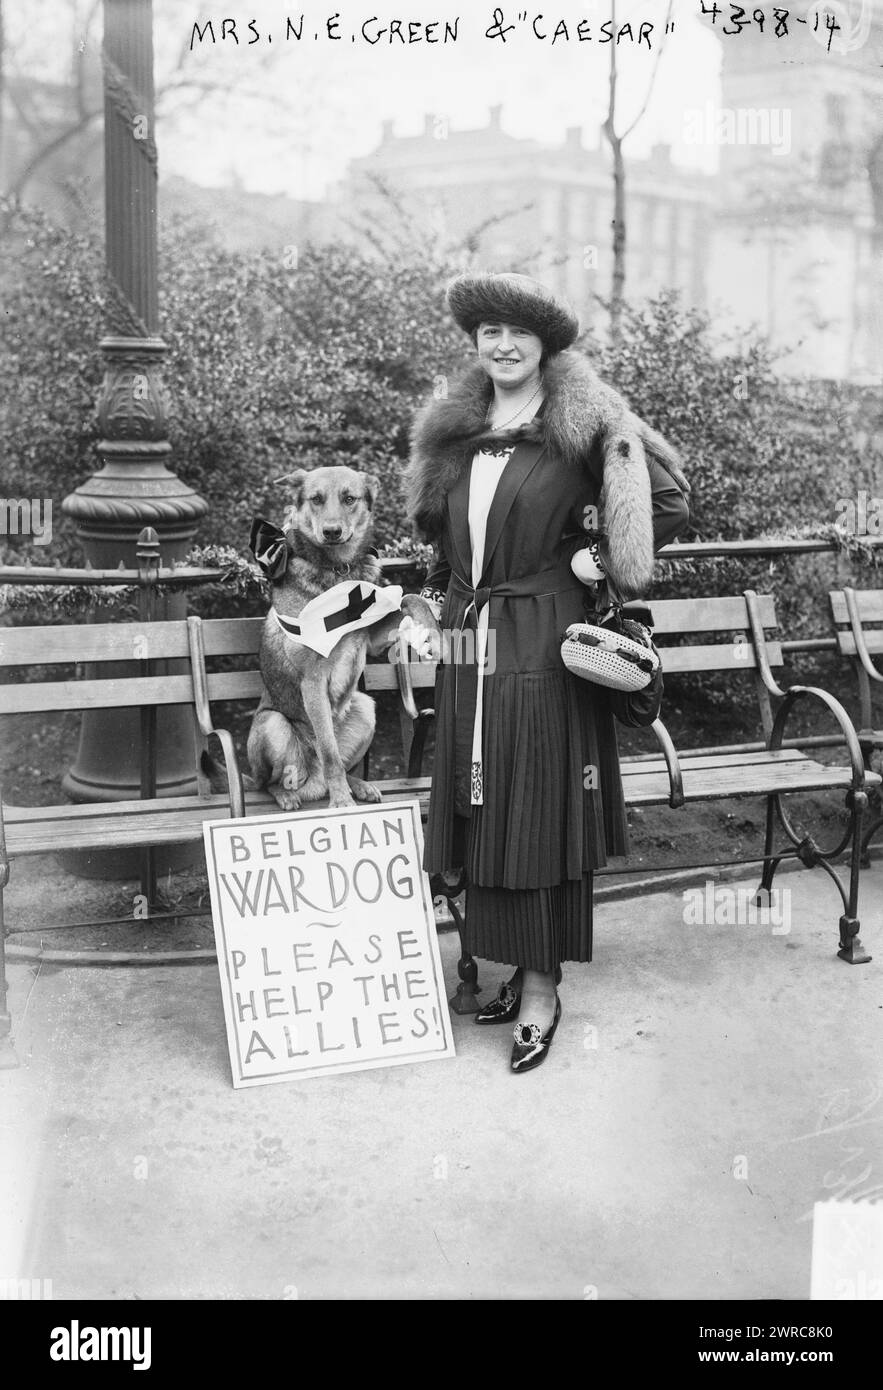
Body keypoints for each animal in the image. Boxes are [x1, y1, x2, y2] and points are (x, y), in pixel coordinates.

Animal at [243, 467, 436, 811]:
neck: (337, 569)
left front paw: (432, 627)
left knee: (345, 767)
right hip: (272, 725)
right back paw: (289, 794)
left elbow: (410, 598)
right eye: (316, 499)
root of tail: (315, 784)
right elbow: (330, 752)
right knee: (271, 782)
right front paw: (342, 803)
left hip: (365, 707)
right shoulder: (313, 681)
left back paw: (358, 785)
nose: (332, 531)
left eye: (349, 498)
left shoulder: (372, 640)